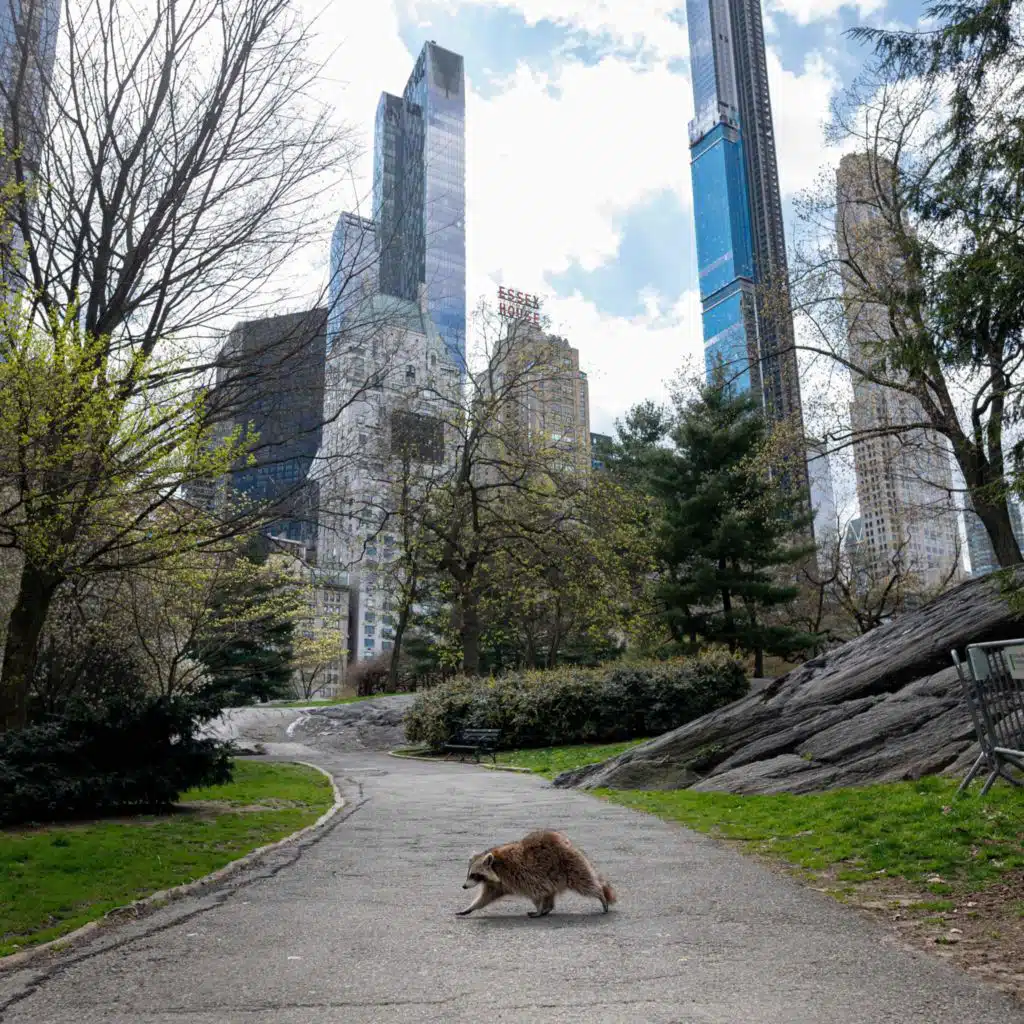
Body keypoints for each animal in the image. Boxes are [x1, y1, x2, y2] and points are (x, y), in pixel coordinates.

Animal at [457, 830, 617, 918]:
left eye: (474, 875)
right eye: (468, 874)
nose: (464, 886)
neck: (495, 865)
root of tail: (568, 843)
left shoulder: (519, 874)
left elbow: (535, 892)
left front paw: (538, 908)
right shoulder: (496, 884)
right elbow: (485, 897)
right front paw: (470, 908)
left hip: (569, 866)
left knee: (585, 882)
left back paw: (600, 895)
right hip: (554, 874)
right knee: (551, 891)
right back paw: (548, 908)